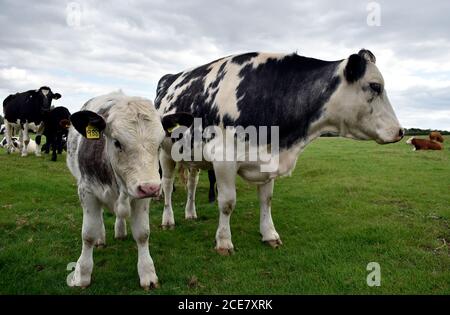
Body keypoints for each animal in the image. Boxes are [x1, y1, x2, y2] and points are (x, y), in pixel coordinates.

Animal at [66, 90, 192, 288]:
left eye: (159, 144)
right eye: (117, 142)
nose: (150, 187)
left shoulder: (142, 197)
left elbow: (142, 234)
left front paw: (147, 273)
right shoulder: (87, 192)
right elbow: (88, 234)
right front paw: (82, 274)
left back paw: (120, 230)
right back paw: (101, 238)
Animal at [156, 50, 404, 256]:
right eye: (375, 86)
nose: (400, 131)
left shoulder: (268, 161)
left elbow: (266, 200)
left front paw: (269, 235)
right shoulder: (223, 159)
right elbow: (227, 203)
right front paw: (224, 242)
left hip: (192, 156)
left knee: (192, 184)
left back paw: (190, 213)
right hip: (165, 153)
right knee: (167, 185)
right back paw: (168, 220)